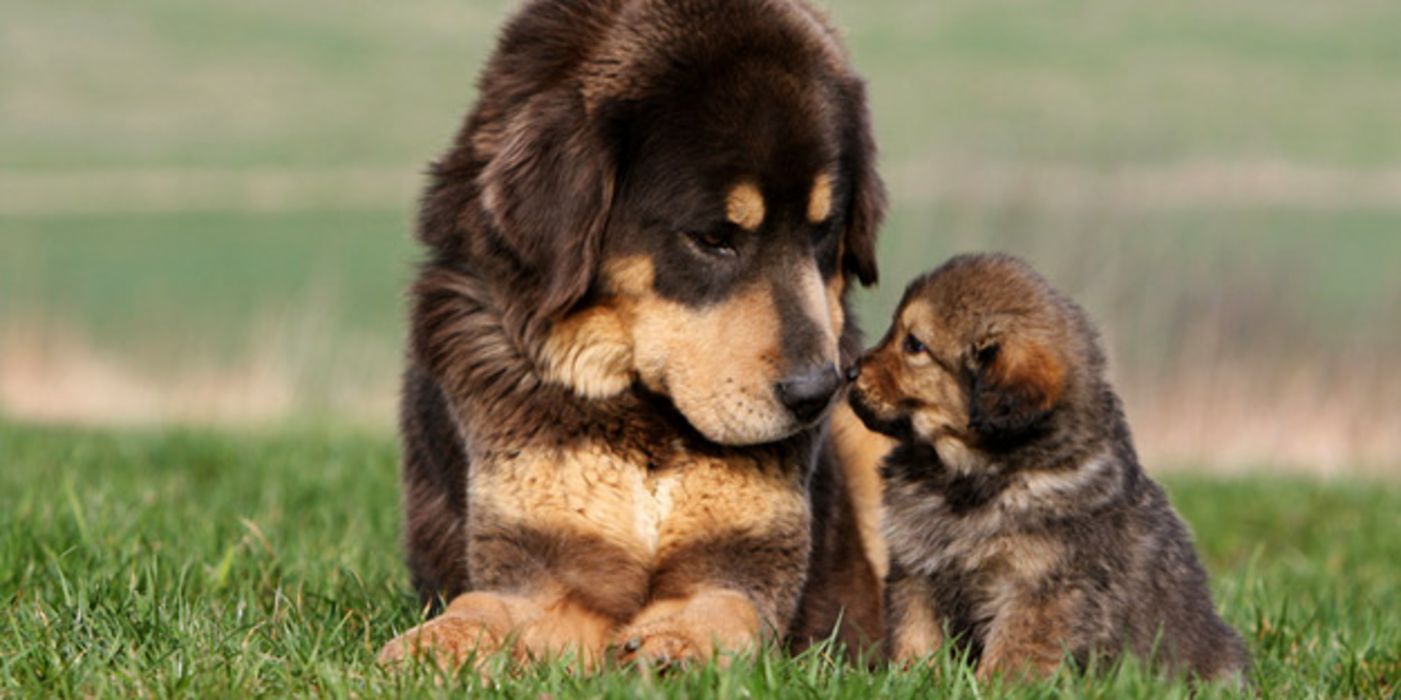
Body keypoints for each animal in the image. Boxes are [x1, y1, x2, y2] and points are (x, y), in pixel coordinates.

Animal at [378, 0, 891, 672]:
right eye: (714, 238)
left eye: (822, 230)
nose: (815, 393)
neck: (648, 426)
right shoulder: (546, 561)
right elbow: (488, 606)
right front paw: (437, 643)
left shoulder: (745, 562)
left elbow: (728, 607)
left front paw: (677, 642)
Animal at [840, 254, 1249, 680]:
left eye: (914, 344)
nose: (848, 371)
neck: (970, 475)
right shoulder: (916, 570)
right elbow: (915, 635)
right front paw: (912, 677)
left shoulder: (1041, 586)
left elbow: (1011, 652)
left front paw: (991, 686)